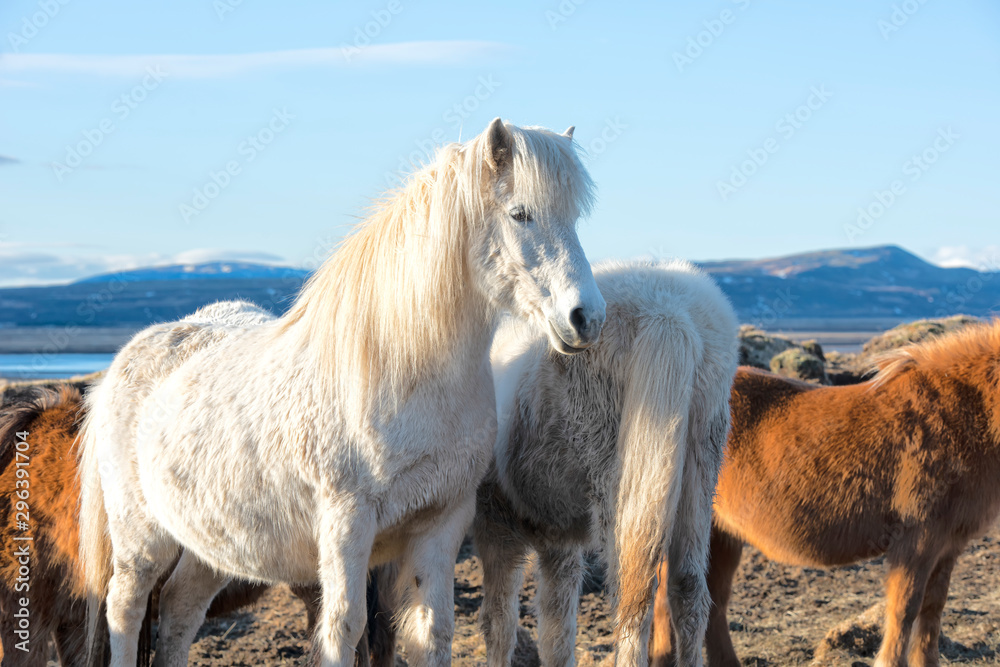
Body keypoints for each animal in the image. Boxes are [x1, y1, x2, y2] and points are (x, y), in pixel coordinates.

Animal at [78, 120, 604, 667]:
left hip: (210, 542)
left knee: (180, 610)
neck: (404, 372)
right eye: (520, 213)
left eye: (573, 218)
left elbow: (433, 633)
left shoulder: (441, 522)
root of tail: (129, 357)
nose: (586, 318)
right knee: (125, 609)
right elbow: (344, 628)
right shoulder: (347, 525)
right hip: (141, 541)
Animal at [472, 258, 740, 664]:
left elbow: (499, 624)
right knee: (689, 592)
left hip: (616, 483)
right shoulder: (557, 538)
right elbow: (556, 628)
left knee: (634, 599)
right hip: (698, 472)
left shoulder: (497, 526)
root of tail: (667, 313)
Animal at [652, 320, 1000, 667]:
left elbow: (931, 612)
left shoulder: (947, 546)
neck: (962, 414)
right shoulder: (917, 541)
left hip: (722, 535)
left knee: (714, 603)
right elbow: (904, 610)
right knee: (666, 605)